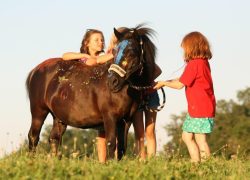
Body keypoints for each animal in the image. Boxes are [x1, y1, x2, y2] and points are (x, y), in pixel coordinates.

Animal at [26, 24, 157, 160]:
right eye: (114, 52)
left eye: (131, 52)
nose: (112, 82)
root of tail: (35, 70)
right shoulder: (110, 117)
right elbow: (111, 143)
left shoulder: (126, 120)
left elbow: (121, 147)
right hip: (38, 112)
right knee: (33, 136)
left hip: (58, 117)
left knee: (54, 138)